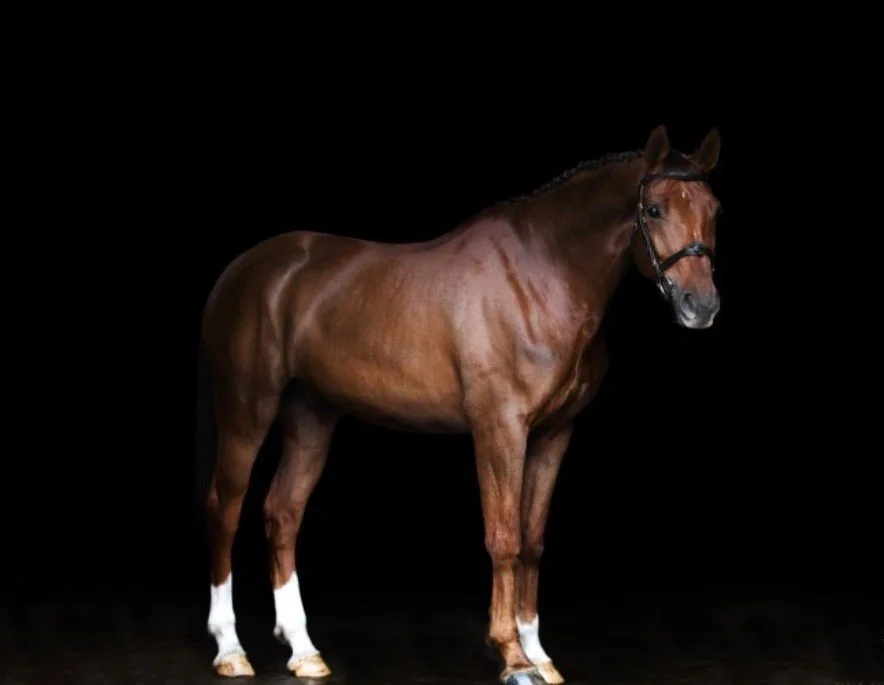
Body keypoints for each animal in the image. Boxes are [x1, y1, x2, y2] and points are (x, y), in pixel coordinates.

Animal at [195, 124, 723, 685]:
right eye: (655, 209)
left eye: (714, 208)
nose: (700, 305)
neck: (543, 276)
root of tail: (243, 269)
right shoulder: (500, 428)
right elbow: (504, 537)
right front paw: (512, 655)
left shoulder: (554, 433)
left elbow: (533, 540)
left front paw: (539, 653)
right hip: (246, 410)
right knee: (225, 508)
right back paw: (230, 649)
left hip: (311, 415)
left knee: (283, 512)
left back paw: (303, 649)